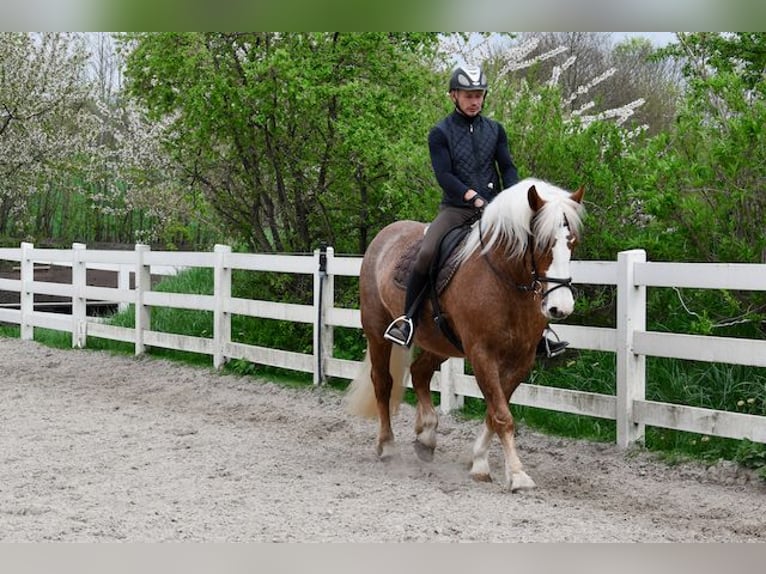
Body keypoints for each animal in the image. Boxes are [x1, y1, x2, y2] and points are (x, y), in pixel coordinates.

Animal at [344, 178, 584, 492]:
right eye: (542, 243)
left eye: (572, 243)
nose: (560, 307)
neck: (505, 282)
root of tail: (385, 234)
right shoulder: (482, 354)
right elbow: (502, 415)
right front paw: (517, 474)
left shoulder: (522, 359)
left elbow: (494, 412)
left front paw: (479, 461)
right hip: (376, 332)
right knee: (383, 383)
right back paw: (387, 446)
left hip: (440, 342)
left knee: (420, 373)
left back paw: (426, 436)